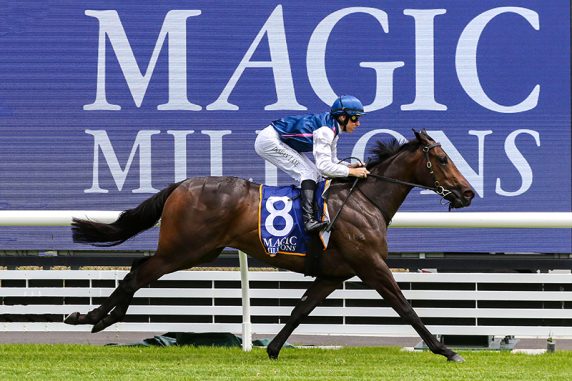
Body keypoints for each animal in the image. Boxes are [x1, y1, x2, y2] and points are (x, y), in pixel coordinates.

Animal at [65, 129, 474, 360]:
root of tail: (181, 185)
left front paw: (274, 349)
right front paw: (446, 350)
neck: (364, 200)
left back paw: (97, 318)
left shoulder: (334, 274)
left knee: (137, 271)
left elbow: (300, 309)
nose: (468, 192)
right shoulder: (370, 264)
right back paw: (91, 318)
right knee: (137, 274)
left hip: (198, 250)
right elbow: (406, 308)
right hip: (185, 249)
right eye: (441, 158)